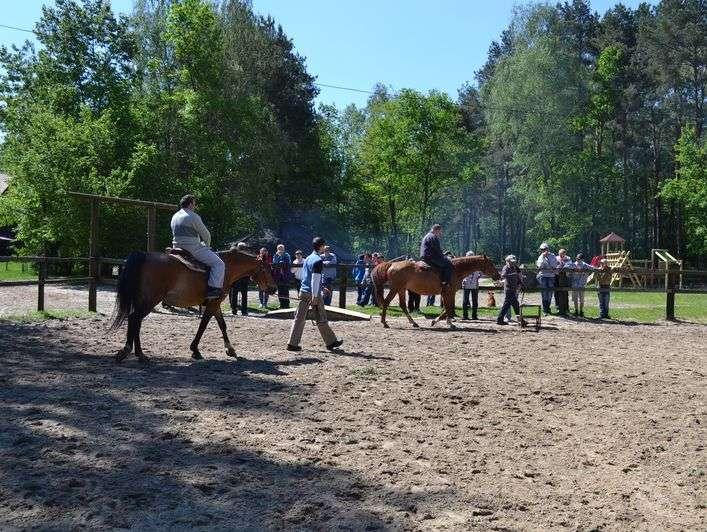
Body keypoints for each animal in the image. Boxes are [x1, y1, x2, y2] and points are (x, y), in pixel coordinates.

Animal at [110, 248, 276, 364]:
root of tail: (145, 255)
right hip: (150, 300)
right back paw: (133, 352)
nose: (273, 288)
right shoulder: (213, 304)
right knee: (134, 319)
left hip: (143, 301)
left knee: (135, 321)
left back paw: (137, 353)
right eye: (267, 269)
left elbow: (222, 325)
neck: (226, 268)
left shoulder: (215, 304)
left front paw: (230, 349)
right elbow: (204, 325)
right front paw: (195, 349)